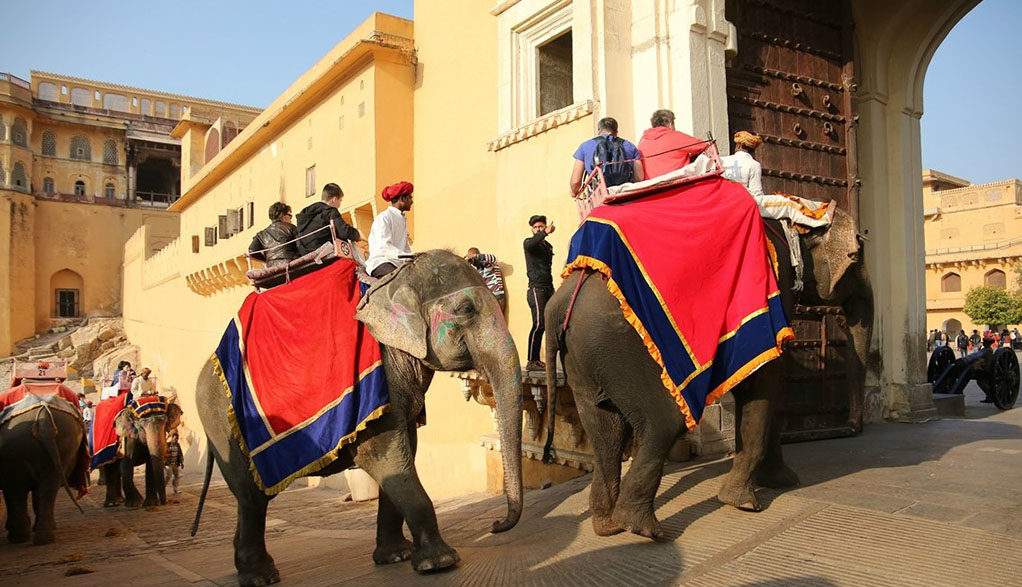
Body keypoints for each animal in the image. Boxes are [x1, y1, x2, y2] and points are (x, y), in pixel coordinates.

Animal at [193, 250, 523, 586]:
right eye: (466, 309)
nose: (496, 524)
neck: (393, 280)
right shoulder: (376, 382)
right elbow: (381, 454)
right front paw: (440, 562)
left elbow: (405, 451)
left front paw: (396, 556)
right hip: (221, 419)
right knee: (252, 497)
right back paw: (260, 576)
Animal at [543, 208, 872, 539]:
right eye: (856, 258)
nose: (852, 428)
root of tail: (561, 302)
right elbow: (764, 382)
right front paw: (744, 501)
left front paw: (779, 482)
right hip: (625, 348)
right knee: (663, 422)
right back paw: (645, 529)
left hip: (586, 355)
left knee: (605, 429)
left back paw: (608, 526)